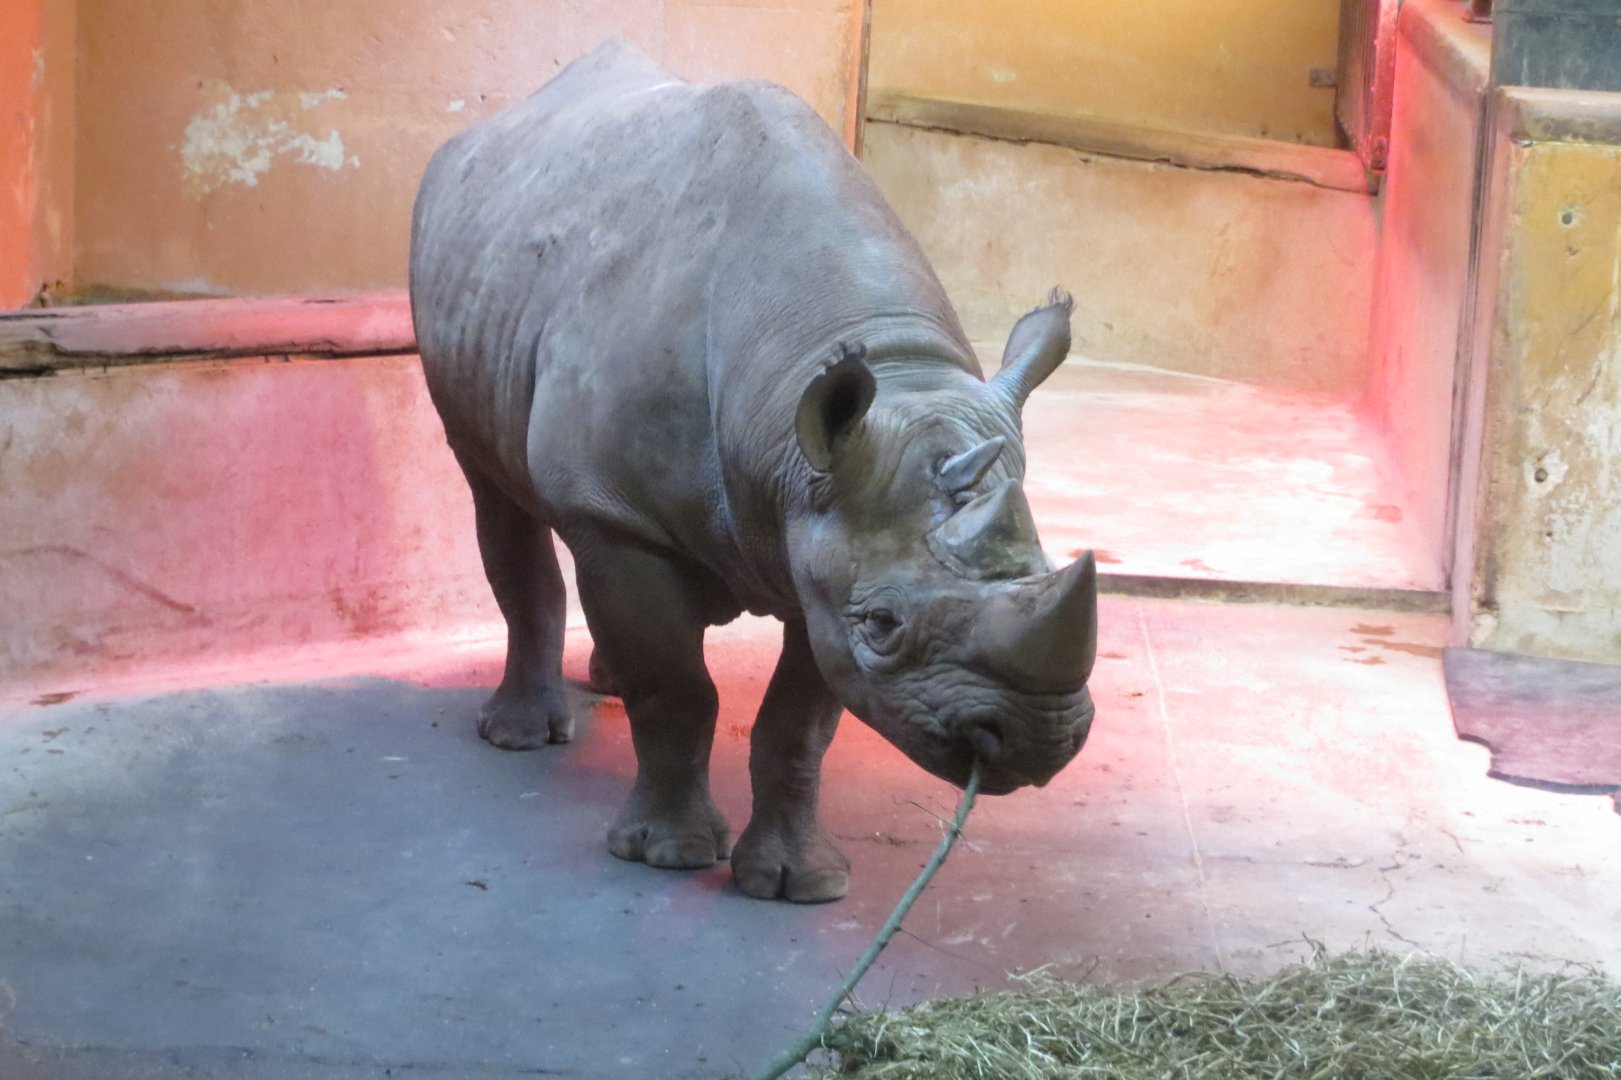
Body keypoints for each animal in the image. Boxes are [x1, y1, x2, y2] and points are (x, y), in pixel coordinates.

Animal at [409, 39, 1097, 903]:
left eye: (1041, 567)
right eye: (883, 625)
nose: (1040, 741)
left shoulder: (820, 529)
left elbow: (798, 725)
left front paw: (798, 884)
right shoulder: (624, 516)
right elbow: (676, 689)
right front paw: (666, 854)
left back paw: (602, 682)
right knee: (492, 486)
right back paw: (521, 737)